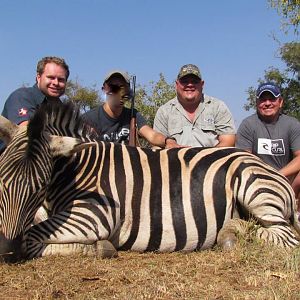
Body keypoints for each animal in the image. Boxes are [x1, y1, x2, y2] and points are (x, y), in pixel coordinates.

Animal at [0, 101, 298, 262]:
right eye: (1, 179)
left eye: (40, 186)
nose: (6, 250)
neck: (78, 169)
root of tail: (268, 168)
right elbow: (33, 227)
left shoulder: (95, 214)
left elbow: (31, 237)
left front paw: (98, 247)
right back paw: (232, 229)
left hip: (253, 186)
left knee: (286, 235)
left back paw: (230, 235)